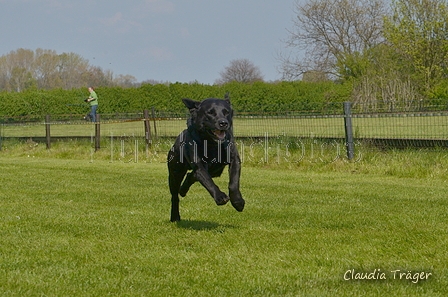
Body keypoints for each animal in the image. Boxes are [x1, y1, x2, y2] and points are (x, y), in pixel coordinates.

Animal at [167, 93, 245, 221]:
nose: (223, 123)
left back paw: (183, 190)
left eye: (226, 112)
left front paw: (238, 202)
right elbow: (208, 181)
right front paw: (220, 197)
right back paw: (175, 216)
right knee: (175, 196)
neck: (212, 144)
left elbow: (233, 183)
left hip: (214, 171)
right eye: (210, 112)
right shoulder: (199, 166)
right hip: (175, 173)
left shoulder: (234, 160)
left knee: (191, 176)